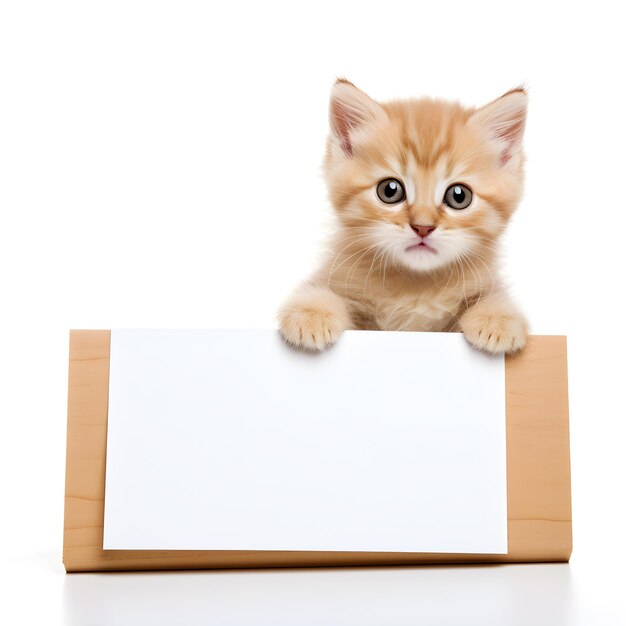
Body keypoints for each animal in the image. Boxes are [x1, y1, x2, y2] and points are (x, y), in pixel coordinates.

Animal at [278, 78, 528, 354]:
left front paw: (496, 319)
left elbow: (494, 296)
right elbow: (322, 290)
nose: (423, 227)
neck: (415, 286)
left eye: (459, 196)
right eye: (390, 190)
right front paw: (312, 314)